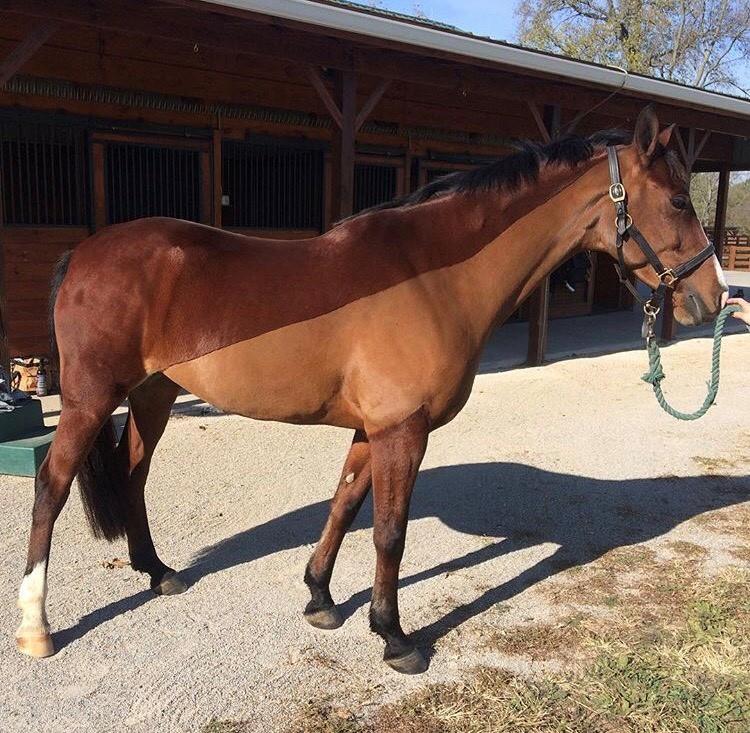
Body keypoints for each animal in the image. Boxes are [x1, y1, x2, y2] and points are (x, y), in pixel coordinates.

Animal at [15, 106, 727, 674]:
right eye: (679, 203)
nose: (712, 297)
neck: (433, 276)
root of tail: (82, 256)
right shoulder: (403, 431)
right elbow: (390, 533)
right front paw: (394, 637)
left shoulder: (372, 429)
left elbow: (344, 507)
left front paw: (321, 600)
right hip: (88, 400)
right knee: (50, 487)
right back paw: (36, 629)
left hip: (153, 396)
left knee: (133, 474)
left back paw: (158, 573)